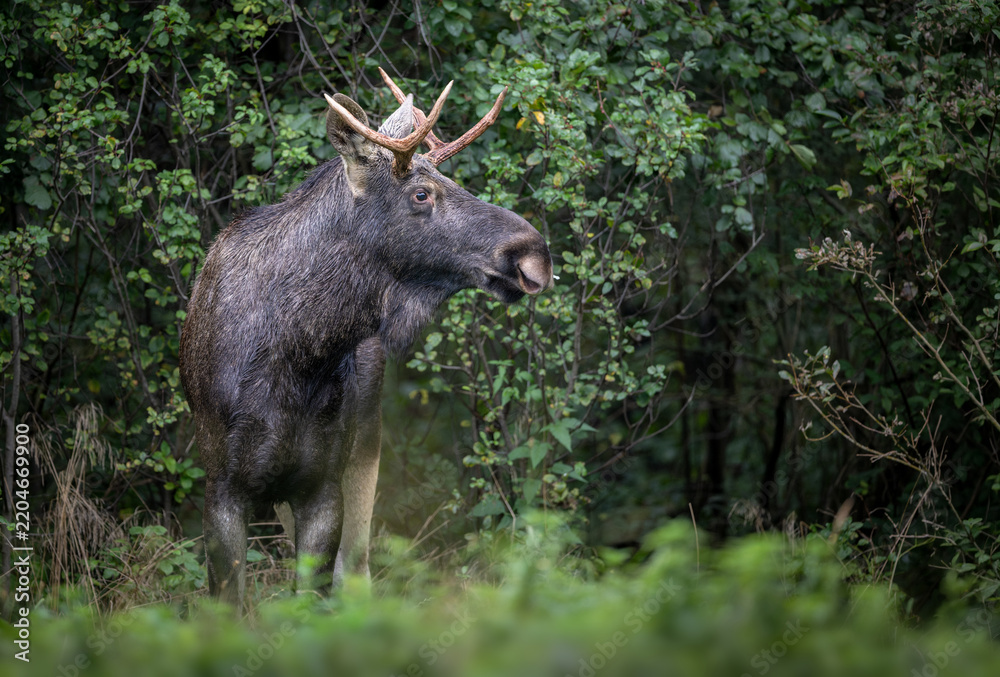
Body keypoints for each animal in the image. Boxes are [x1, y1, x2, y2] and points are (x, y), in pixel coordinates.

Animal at [179, 69, 553, 609]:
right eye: (421, 194)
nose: (535, 253)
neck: (293, 357)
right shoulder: (222, 484)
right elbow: (229, 604)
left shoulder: (322, 481)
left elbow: (312, 599)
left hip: (366, 442)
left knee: (356, 571)